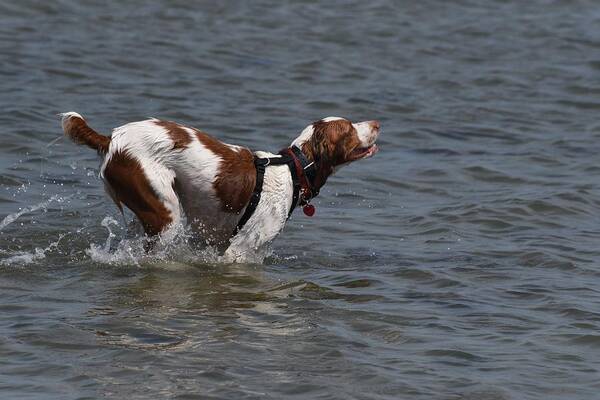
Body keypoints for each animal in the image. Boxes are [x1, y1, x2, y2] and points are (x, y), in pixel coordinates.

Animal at [61, 112, 380, 262]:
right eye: (349, 128)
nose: (377, 123)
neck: (294, 169)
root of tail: (111, 139)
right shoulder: (239, 251)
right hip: (163, 214)